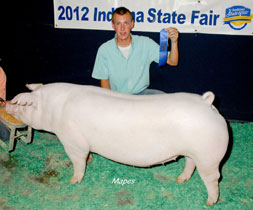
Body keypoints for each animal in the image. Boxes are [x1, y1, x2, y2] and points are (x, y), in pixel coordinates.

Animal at [5, 83, 228, 206]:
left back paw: (209, 202)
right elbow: (87, 157)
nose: (6, 103)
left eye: (22, 104)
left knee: (213, 177)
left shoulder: (72, 141)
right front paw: (91, 159)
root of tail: (207, 103)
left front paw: (73, 181)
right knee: (190, 164)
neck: (55, 110)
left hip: (208, 155)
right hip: (193, 151)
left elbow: (78, 161)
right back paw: (180, 180)